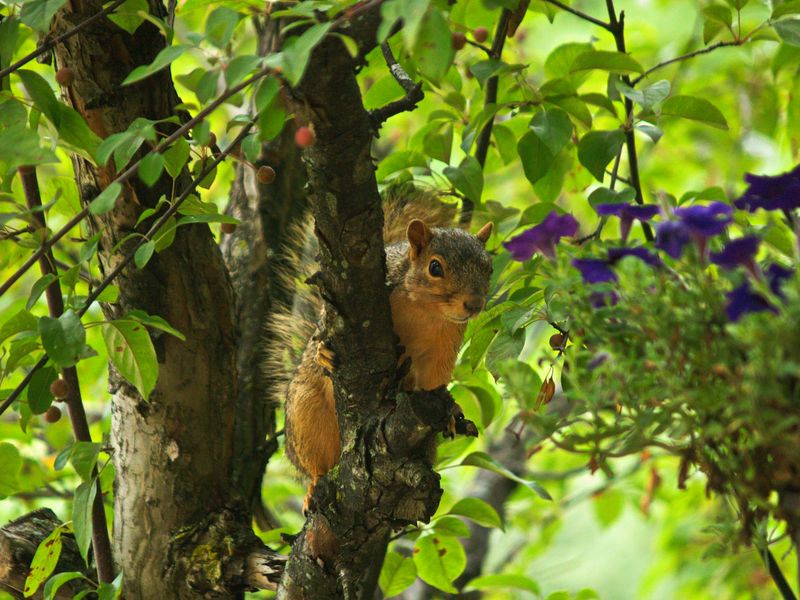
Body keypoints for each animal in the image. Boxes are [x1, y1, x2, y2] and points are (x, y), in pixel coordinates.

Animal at [268, 186, 494, 506]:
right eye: (435, 267)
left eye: (488, 268)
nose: (474, 304)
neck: (425, 311)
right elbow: (324, 324)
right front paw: (323, 352)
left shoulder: (444, 345)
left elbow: (433, 380)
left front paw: (449, 408)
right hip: (304, 415)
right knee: (316, 465)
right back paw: (313, 483)